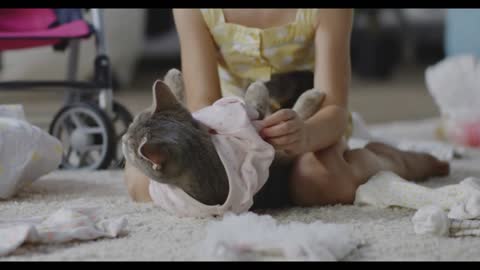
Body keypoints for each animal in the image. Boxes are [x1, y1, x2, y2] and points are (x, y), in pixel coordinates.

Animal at [123, 68, 326, 208]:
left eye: (131, 125)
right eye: (129, 146)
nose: (123, 138)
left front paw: (171, 78)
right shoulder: (271, 150)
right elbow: (260, 107)